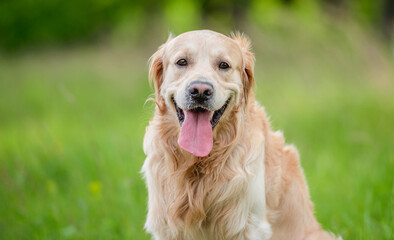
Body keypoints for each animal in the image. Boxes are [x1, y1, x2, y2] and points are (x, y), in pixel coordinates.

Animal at [142, 30, 342, 240]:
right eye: (182, 62)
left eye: (224, 65)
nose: (200, 91)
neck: (201, 163)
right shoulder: (166, 225)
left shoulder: (248, 225)